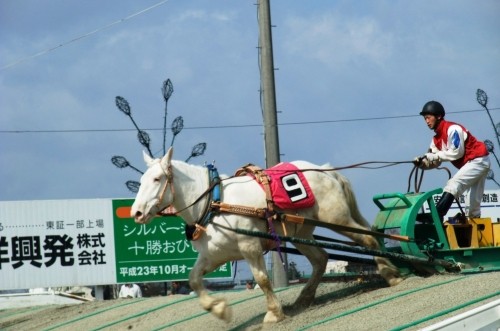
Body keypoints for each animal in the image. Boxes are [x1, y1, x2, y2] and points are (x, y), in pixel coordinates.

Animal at [130, 148, 402, 324]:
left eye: (157, 179)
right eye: (141, 180)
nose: (137, 213)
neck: (214, 204)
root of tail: (326, 171)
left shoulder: (249, 246)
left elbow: (262, 279)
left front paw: (273, 313)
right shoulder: (214, 257)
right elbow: (194, 279)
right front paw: (219, 309)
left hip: (337, 219)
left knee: (367, 239)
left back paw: (391, 274)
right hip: (301, 232)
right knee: (320, 259)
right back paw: (304, 297)